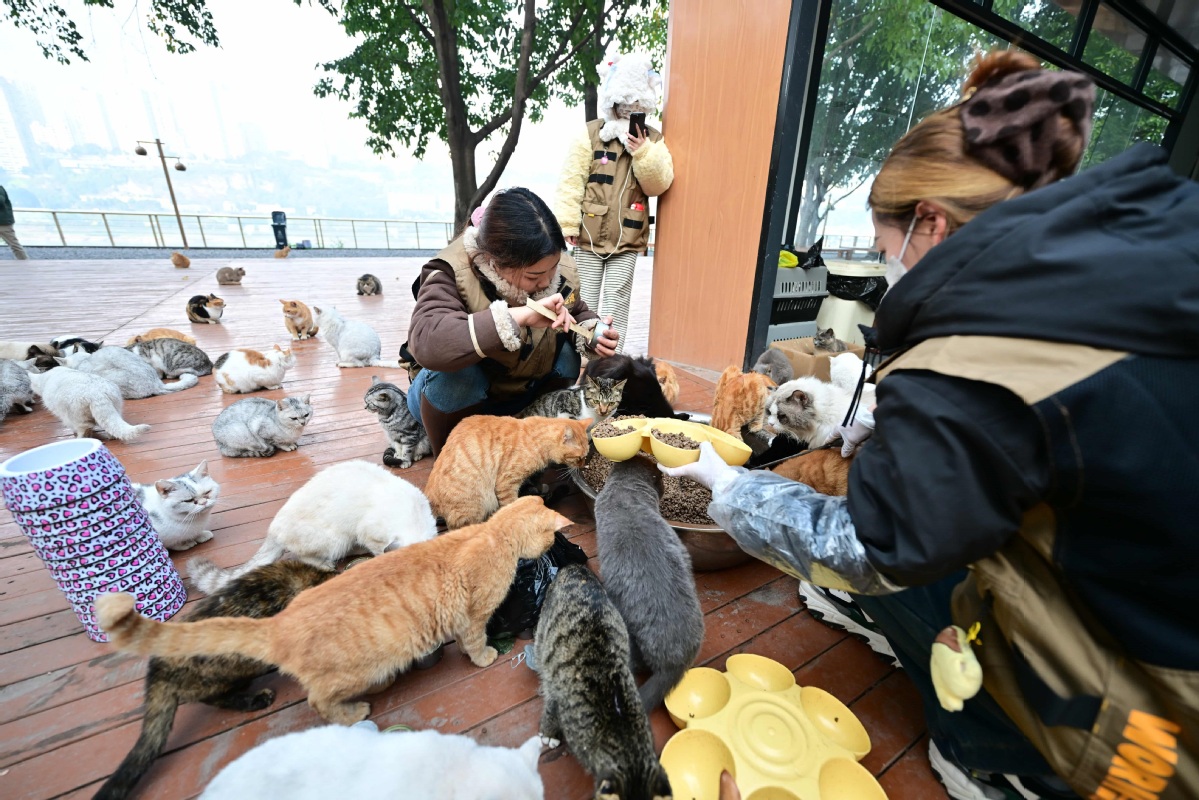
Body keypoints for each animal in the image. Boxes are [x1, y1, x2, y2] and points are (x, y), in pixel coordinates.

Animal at [19, 361, 150, 441]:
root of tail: (98, 394)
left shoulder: (63, 414)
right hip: (116, 407)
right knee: (113, 426)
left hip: (77, 415)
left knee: (85, 428)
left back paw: (80, 438)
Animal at [97, 496, 571, 725]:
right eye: (550, 539)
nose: (552, 545)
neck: (492, 534)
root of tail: (282, 622)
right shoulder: (472, 617)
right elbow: (473, 642)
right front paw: (486, 655)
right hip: (353, 671)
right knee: (318, 701)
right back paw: (355, 711)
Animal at [188, 460, 437, 593]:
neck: (414, 517)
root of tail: (272, 528)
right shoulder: (369, 534)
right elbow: (378, 551)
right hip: (337, 539)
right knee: (304, 556)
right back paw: (327, 563)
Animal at [423, 416, 591, 529]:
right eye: (579, 458)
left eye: (585, 456)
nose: (583, 465)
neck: (535, 438)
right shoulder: (506, 484)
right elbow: (512, 505)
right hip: (474, 507)